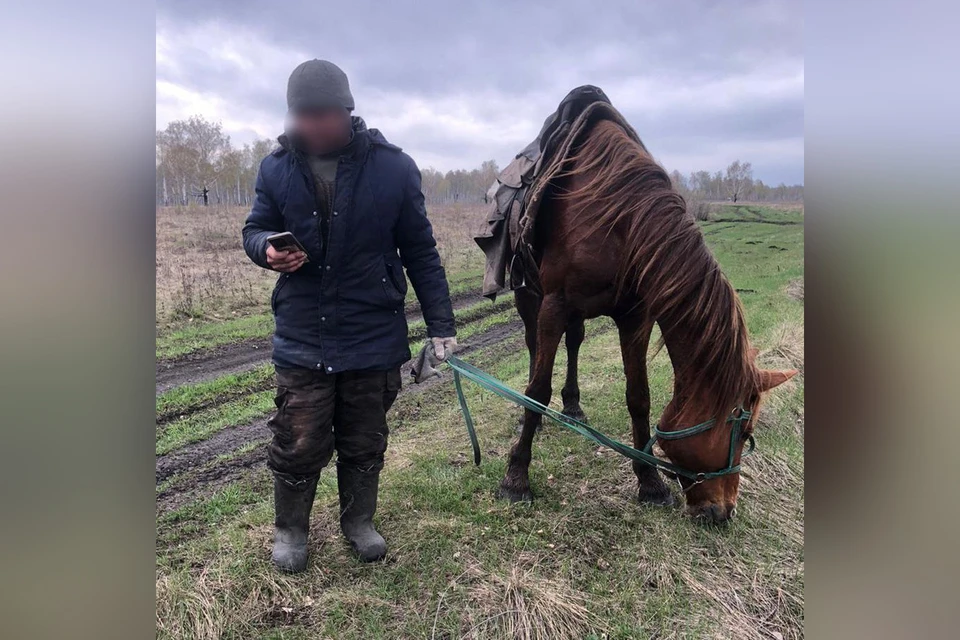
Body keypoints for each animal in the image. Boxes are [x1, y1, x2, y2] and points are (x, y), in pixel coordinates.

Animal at [502, 119, 796, 520]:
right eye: (746, 434)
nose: (724, 511)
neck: (619, 221)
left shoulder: (635, 317)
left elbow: (638, 397)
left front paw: (651, 482)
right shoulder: (554, 304)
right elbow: (537, 390)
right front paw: (516, 477)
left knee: (575, 341)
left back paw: (574, 406)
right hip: (527, 296)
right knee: (534, 345)